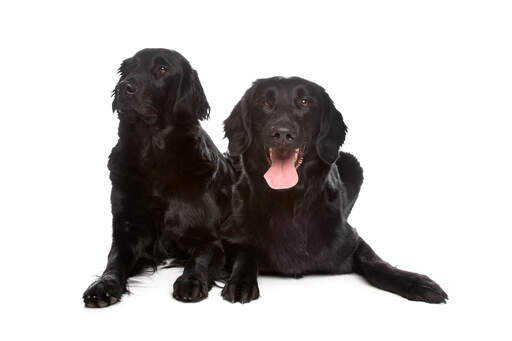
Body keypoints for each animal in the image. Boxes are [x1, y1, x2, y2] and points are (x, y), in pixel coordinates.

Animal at [82, 49, 232, 306]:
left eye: (162, 69)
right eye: (129, 68)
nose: (123, 87)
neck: (155, 158)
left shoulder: (209, 239)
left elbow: (199, 260)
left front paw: (191, 281)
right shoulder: (128, 231)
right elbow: (114, 262)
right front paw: (103, 285)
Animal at [220, 76, 448, 302]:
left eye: (305, 102)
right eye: (266, 103)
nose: (282, 133)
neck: (289, 201)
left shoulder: (351, 238)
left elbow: (374, 261)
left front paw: (414, 282)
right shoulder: (231, 236)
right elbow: (246, 252)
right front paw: (241, 281)